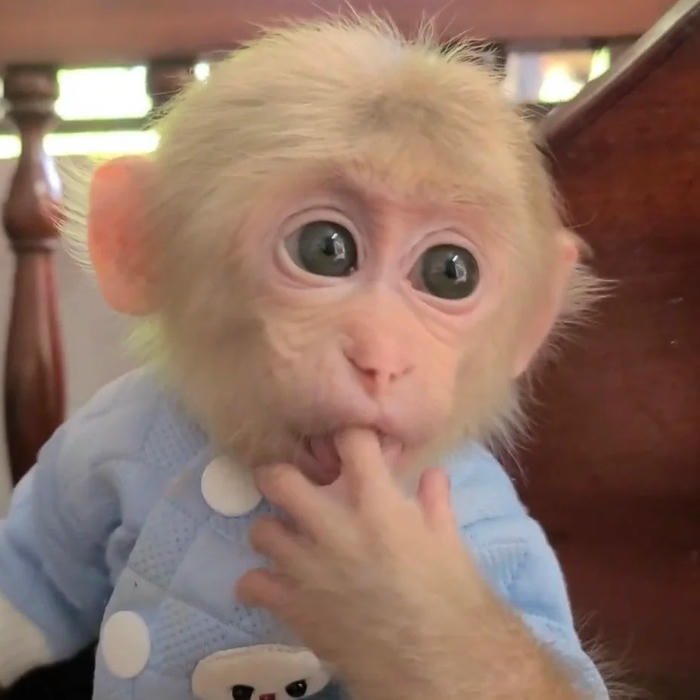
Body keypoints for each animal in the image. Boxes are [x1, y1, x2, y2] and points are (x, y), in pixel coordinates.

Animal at [0, 15, 610, 700]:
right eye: (326, 248)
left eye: (450, 273)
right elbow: (37, 573)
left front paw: (396, 593)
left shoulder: (489, 520)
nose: (381, 358)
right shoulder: (104, 434)